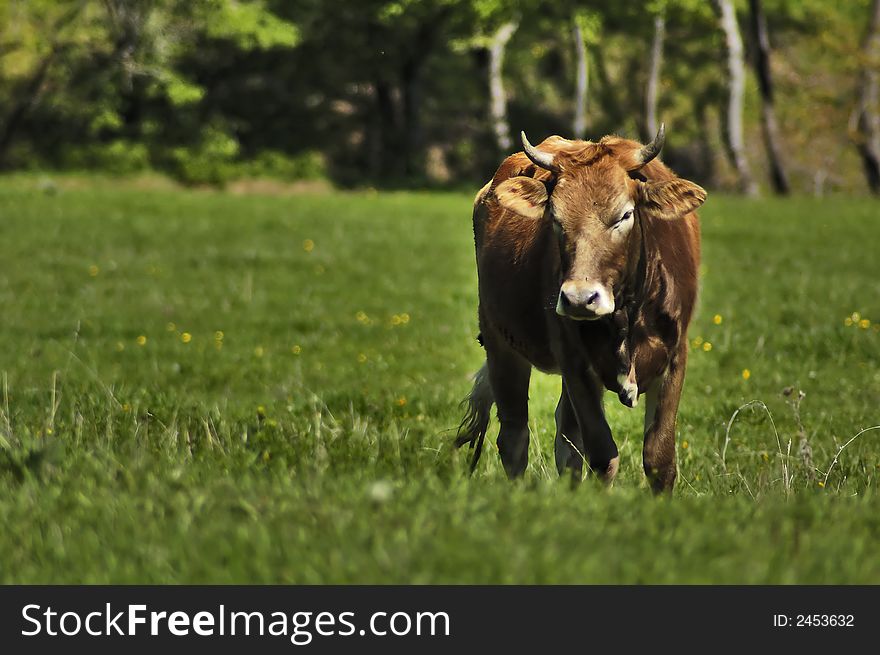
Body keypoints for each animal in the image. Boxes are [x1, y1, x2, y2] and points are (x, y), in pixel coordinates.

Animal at [458, 125, 704, 492]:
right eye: (556, 219)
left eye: (625, 215)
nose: (579, 298)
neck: (627, 316)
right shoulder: (575, 360)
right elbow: (602, 453)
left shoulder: (675, 355)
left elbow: (659, 458)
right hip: (500, 342)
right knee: (515, 436)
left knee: (566, 438)